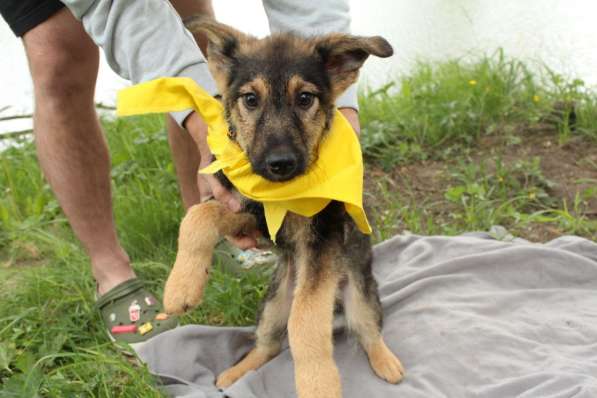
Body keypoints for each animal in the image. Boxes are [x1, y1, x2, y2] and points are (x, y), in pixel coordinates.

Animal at [165, 18, 402, 398]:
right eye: (250, 99)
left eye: (304, 98)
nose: (280, 164)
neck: (284, 194)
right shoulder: (253, 216)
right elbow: (198, 217)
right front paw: (180, 287)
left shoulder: (323, 242)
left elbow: (305, 322)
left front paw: (318, 385)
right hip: (272, 304)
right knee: (269, 343)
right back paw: (235, 373)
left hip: (360, 294)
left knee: (367, 331)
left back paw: (386, 362)